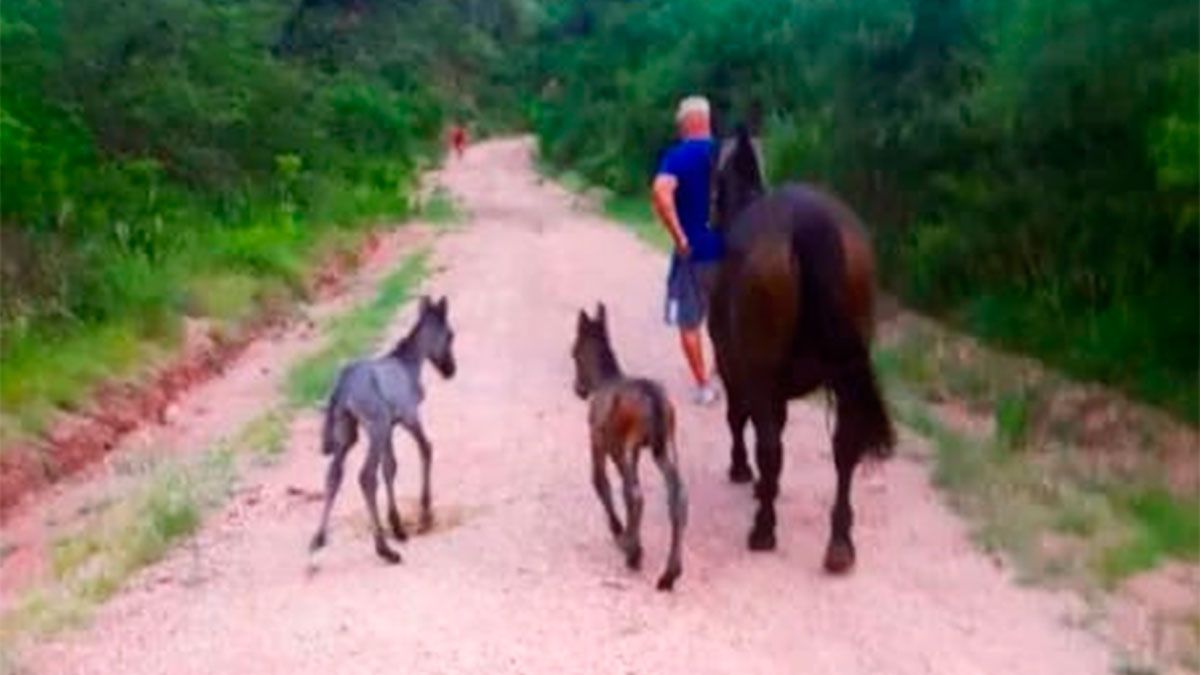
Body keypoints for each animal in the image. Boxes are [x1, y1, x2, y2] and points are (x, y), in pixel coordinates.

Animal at [309, 296, 457, 563]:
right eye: (450, 335)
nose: (450, 370)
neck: (410, 365)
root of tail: (342, 386)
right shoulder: (408, 416)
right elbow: (426, 448)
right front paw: (425, 516)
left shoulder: (390, 426)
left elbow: (390, 467)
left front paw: (397, 526)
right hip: (374, 425)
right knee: (366, 476)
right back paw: (384, 549)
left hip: (349, 431)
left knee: (334, 474)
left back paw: (319, 538)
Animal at [571, 303, 688, 591]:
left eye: (574, 353)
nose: (579, 389)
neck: (604, 379)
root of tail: (653, 399)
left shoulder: (597, 440)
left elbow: (600, 482)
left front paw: (619, 531)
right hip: (664, 445)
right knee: (677, 497)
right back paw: (670, 573)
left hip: (631, 442)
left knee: (635, 494)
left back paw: (632, 551)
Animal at [708, 125, 895, 573]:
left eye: (716, 180)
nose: (710, 216)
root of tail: (807, 221)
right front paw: (763, 486)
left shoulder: (735, 366)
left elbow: (740, 420)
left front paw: (743, 472)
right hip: (845, 373)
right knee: (845, 448)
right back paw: (840, 542)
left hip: (759, 369)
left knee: (770, 446)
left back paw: (763, 530)